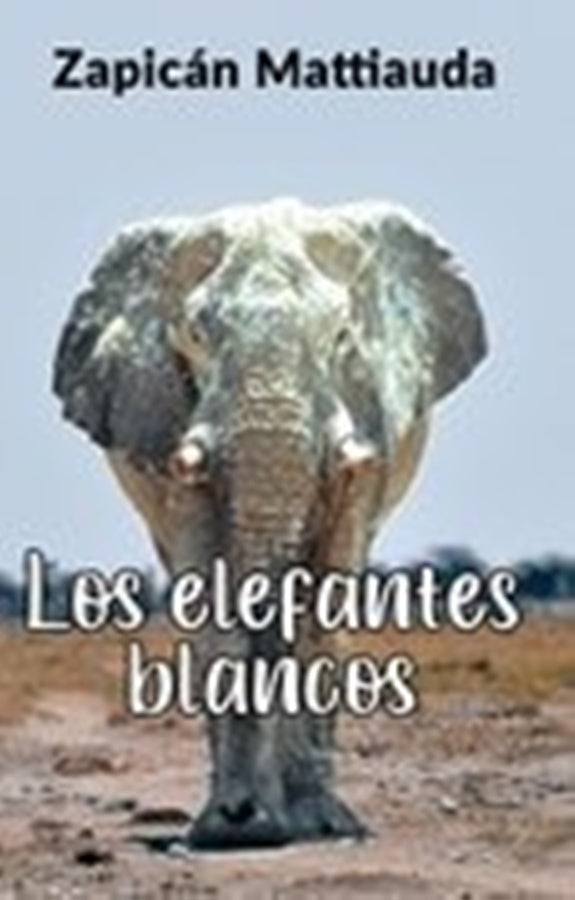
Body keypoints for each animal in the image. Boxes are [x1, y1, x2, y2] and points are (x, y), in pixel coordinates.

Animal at [53, 198, 487, 848]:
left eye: (339, 336)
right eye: (197, 336)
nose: (247, 815)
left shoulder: (369, 421)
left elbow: (329, 591)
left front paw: (317, 824)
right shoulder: (168, 424)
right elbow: (207, 588)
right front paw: (229, 825)